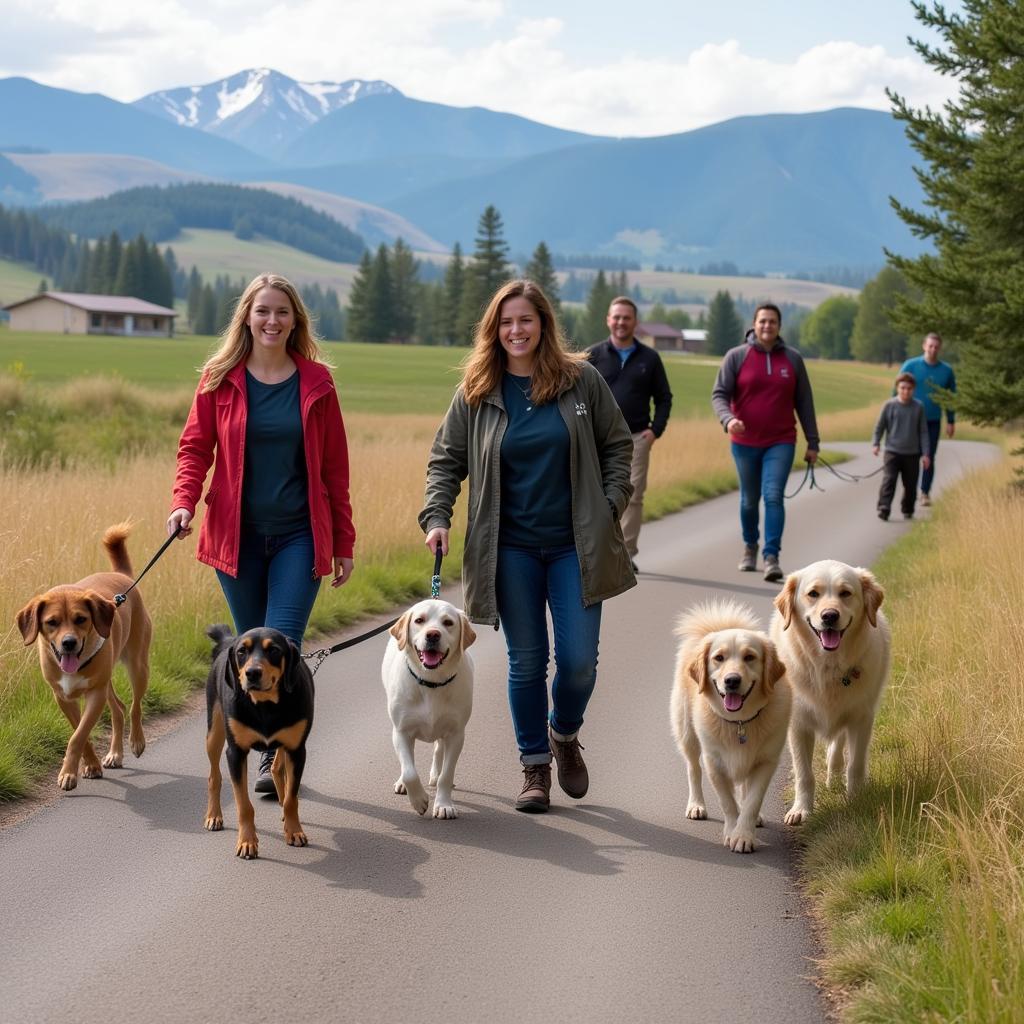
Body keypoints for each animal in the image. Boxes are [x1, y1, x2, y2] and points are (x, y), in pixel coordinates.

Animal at [16, 520, 151, 790]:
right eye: (52, 622)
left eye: (81, 619)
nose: (68, 643)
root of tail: (122, 576)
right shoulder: (63, 697)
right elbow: (81, 732)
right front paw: (90, 765)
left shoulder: (95, 694)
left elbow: (77, 736)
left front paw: (68, 773)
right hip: (107, 680)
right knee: (119, 709)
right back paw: (115, 754)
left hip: (137, 665)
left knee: (135, 706)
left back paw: (136, 741)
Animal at [203, 622, 315, 856]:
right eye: (241, 652)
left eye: (273, 650)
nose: (252, 673)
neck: (265, 705)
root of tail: (227, 641)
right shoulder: (235, 753)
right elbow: (244, 805)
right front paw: (247, 842)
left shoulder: (297, 750)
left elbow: (291, 798)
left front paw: (294, 830)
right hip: (214, 733)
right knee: (214, 777)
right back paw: (213, 816)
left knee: (276, 768)